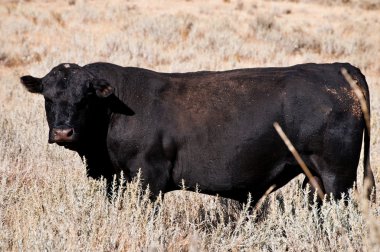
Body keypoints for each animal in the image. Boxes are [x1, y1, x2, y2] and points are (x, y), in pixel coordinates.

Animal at [20, 63, 374, 205]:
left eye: (86, 98)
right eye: (48, 97)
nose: (63, 131)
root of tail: (337, 67)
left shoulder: (149, 177)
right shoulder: (113, 178)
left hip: (338, 174)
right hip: (315, 176)